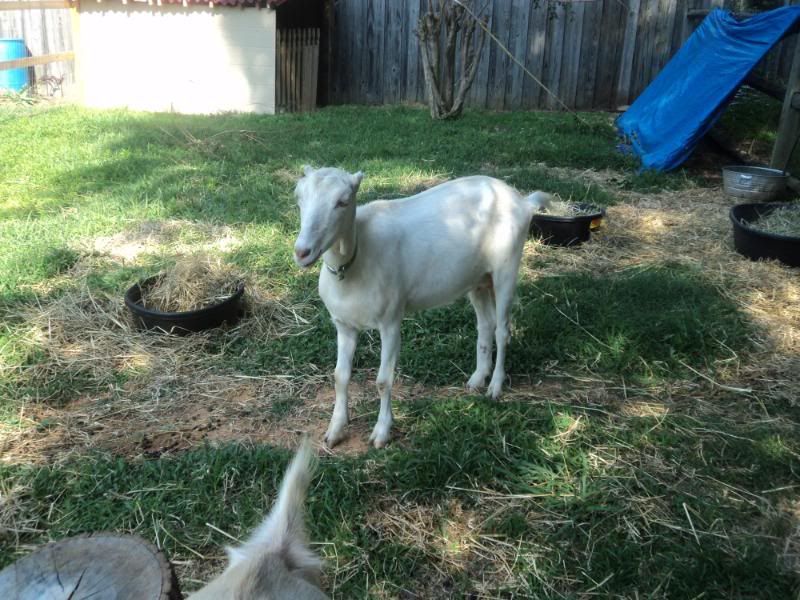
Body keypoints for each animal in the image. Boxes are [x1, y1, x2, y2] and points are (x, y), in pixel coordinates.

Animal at [293, 166, 551, 449]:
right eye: (299, 198)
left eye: (343, 201)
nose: (302, 252)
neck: (357, 260)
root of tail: (523, 201)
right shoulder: (344, 324)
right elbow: (340, 376)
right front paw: (335, 430)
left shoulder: (390, 320)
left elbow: (383, 380)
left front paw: (381, 432)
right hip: (478, 278)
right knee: (486, 324)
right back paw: (477, 379)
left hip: (507, 266)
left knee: (503, 330)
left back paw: (495, 386)